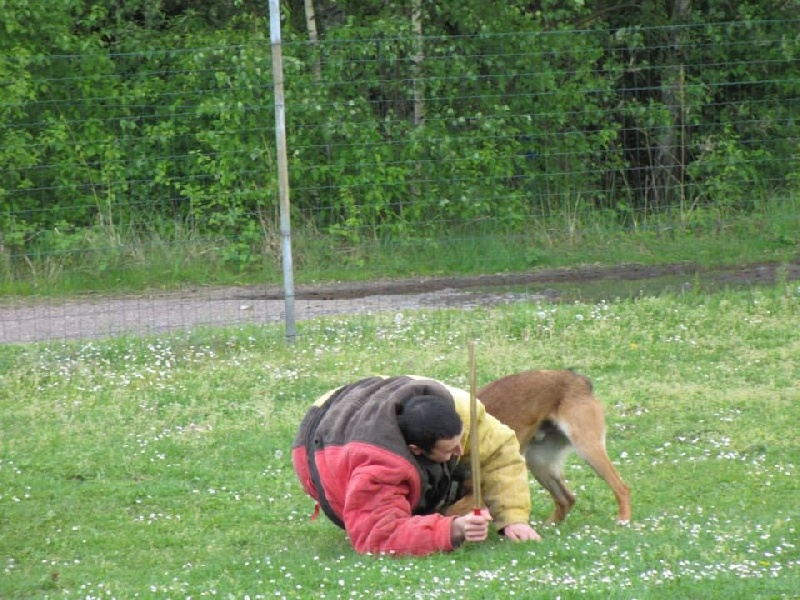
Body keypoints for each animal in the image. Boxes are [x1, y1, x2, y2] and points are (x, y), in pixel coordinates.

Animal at [454, 370, 628, 524]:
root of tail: (577, 378)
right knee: (567, 499)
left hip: (587, 448)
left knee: (622, 488)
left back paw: (623, 521)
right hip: (538, 462)